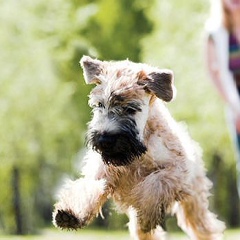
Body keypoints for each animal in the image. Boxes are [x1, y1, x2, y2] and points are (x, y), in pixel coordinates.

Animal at [52, 56, 225, 240]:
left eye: (130, 108)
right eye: (99, 105)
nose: (104, 139)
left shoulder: (175, 171)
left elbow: (155, 184)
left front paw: (147, 215)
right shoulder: (101, 174)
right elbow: (87, 189)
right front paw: (69, 214)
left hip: (194, 203)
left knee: (203, 226)